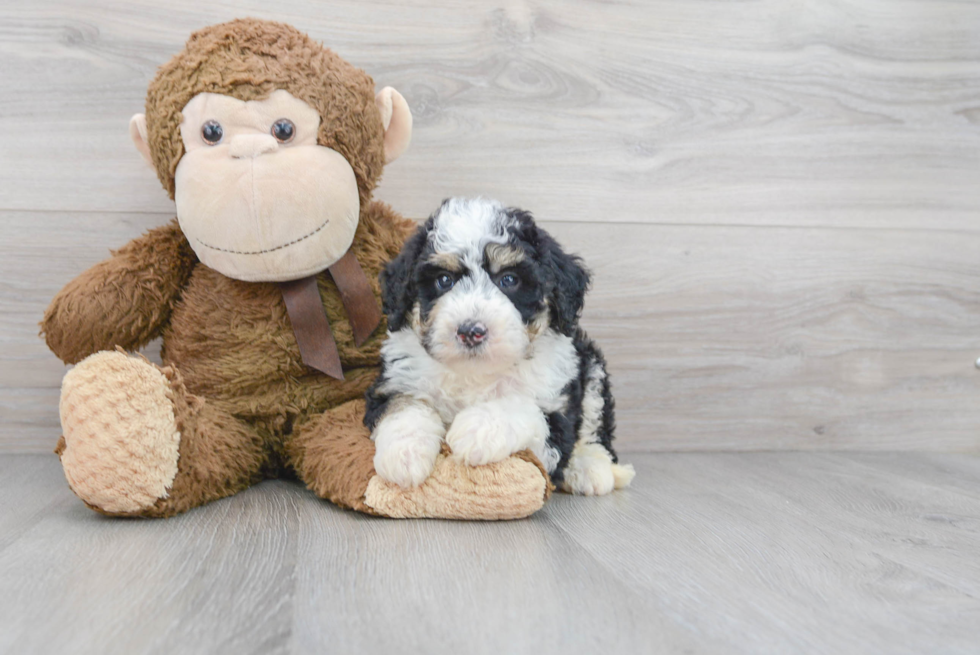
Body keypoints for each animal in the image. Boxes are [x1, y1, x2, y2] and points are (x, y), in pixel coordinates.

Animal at [362, 197, 636, 494]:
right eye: (444, 280)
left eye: (509, 279)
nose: (471, 331)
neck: (476, 372)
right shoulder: (396, 382)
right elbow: (403, 406)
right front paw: (404, 454)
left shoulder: (557, 418)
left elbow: (523, 408)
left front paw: (477, 429)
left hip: (592, 368)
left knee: (594, 427)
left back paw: (589, 468)